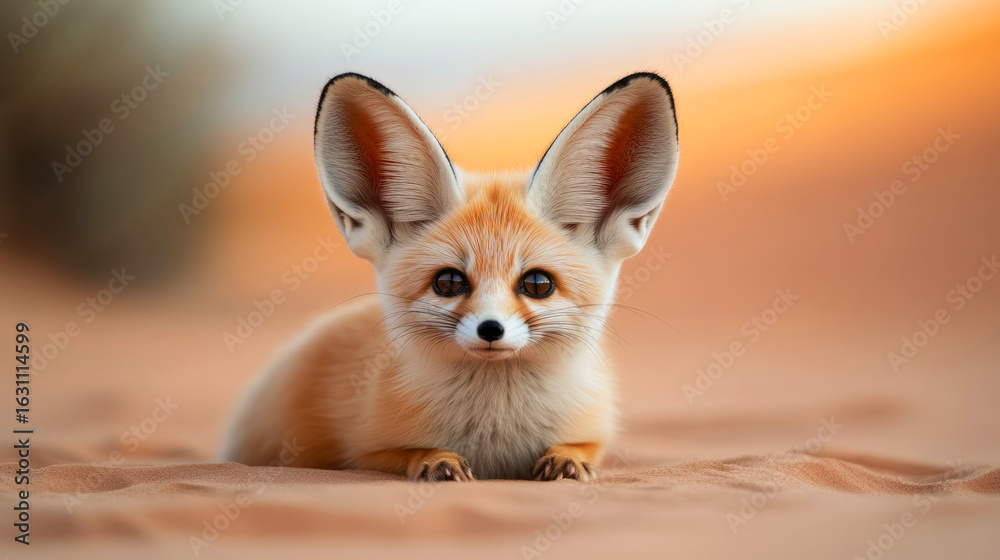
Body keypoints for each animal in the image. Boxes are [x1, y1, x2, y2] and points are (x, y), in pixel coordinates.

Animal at [220, 71, 679, 481]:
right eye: (449, 283)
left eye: (537, 284)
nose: (490, 329)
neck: (496, 437)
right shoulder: (366, 448)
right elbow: (402, 453)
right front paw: (436, 460)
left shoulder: (595, 430)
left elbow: (582, 447)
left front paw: (565, 459)